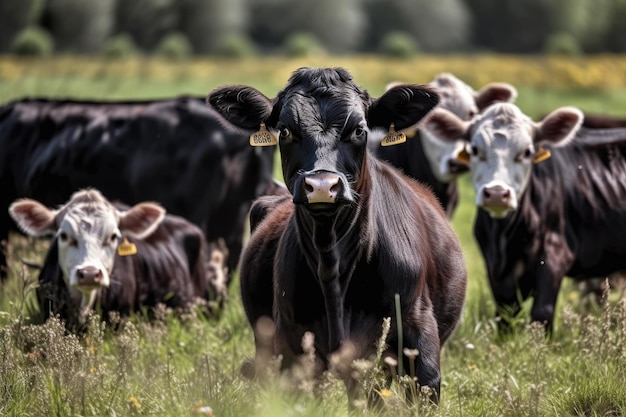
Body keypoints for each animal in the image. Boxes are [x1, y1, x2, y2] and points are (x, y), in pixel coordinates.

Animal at [424, 101, 626, 332]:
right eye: (474, 150)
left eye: (527, 151)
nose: (496, 194)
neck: (504, 240)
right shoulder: (495, 267)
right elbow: (504, 314)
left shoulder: (555, 251)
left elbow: (542, 314)